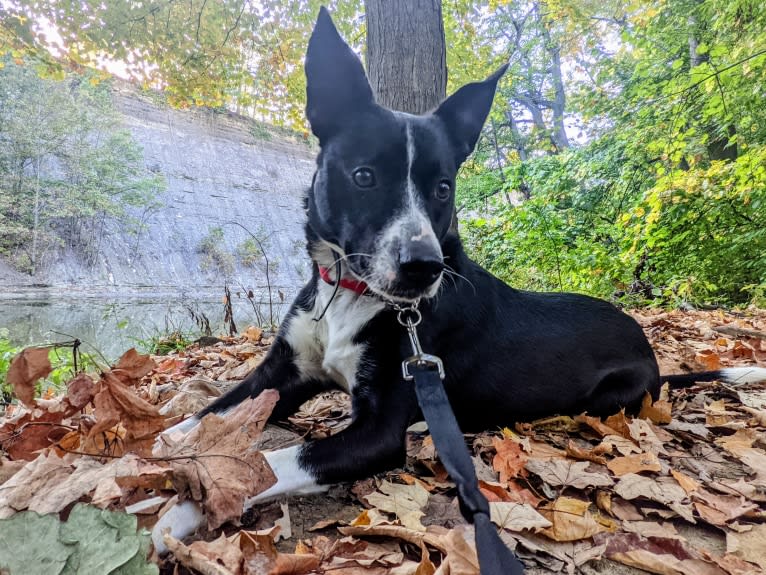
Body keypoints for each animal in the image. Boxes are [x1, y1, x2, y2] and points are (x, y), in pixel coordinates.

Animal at [152, 5, 766, 552]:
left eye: (443, 187)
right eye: (364, 175)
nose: (423, 267)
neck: (351, 298)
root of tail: (653, 353)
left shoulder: (378, 433)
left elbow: (273, 459)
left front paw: (179, 509)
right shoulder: (285, 369)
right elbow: (209, 414)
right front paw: (162, 447)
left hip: (609, 398)